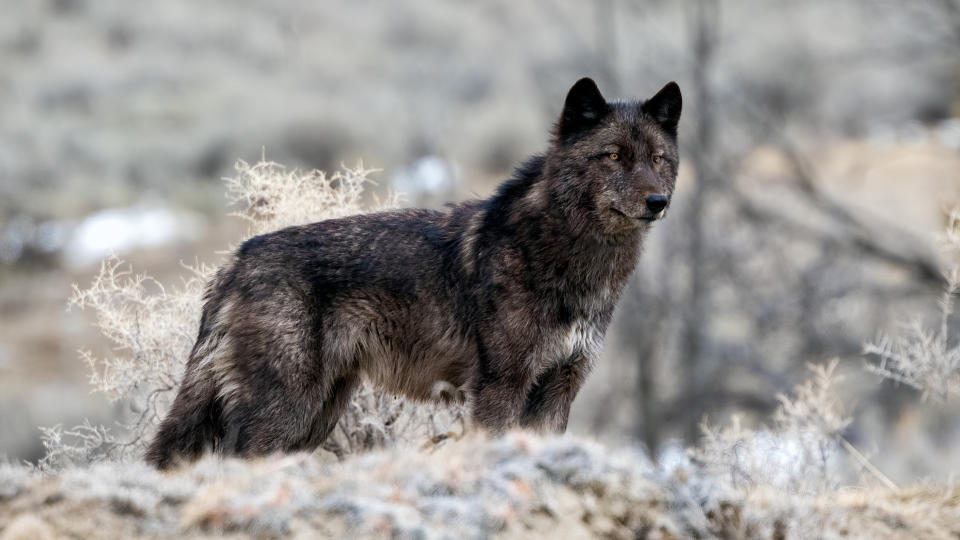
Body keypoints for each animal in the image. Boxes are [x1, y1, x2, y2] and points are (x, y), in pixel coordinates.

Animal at [144, 77, 684, 468]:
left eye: (659, 159)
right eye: (613, 155)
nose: (659, 202)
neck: (572, 259)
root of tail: (236, 260)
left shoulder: (558, 390)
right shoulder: (500, 389)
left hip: (315, 417)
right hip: (285, 411)